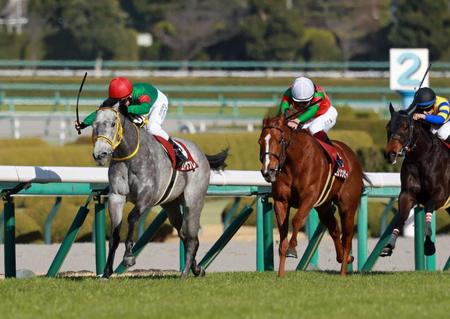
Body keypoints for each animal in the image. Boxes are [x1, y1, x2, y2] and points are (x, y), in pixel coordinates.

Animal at [90, 106, 229, 278]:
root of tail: (201, 153)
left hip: (193, 200)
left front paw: (128, 257)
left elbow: (132, 218)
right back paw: (196, 268)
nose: (100, 154)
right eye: (94, 124)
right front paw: (107, 272)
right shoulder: (116, 197)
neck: (129, 156)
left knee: (192, 237)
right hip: (171, 205)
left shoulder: (146, 197)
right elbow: (114, 235)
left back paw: (185, 273)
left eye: (112, 124)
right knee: (183, 233)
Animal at [258, 115, 368, 278]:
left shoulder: (309, 197)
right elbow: (282, 231)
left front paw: (292, 249)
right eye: (260, 141)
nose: (268, 171)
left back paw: (343, 272)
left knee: (347, 237)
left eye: (278, 140)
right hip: (324, 206)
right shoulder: (281, 201)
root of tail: (353, 157)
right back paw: (344, 257)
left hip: (347, 205)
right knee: (334, 229)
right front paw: (281, 274)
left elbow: (297, 220)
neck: (293, 163)